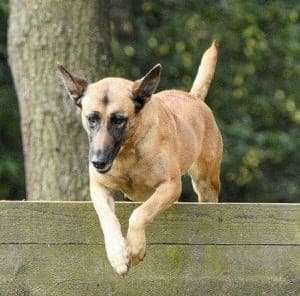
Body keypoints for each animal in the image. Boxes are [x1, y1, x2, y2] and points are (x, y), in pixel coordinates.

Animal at [59, 41, 223, 276]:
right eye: (92, 119)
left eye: (118, 120)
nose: (97, 161)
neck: (126, 154)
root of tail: (194, 97)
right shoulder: (99, 188)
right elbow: (107, 217)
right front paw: (118, 254)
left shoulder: (171, 186)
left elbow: (140, 213)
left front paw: (135, 248)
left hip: (206, 182)